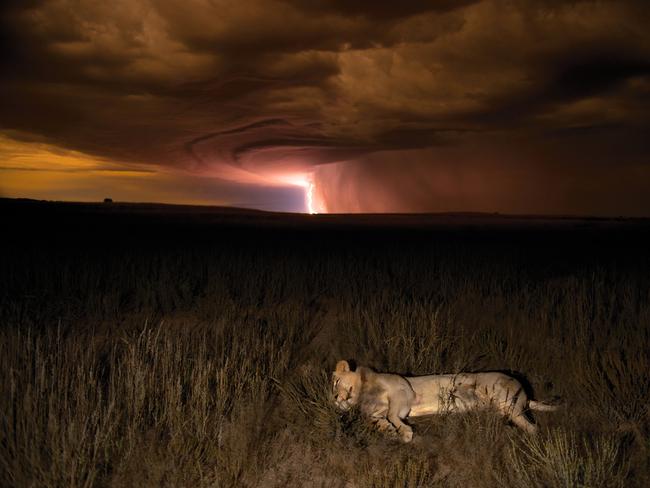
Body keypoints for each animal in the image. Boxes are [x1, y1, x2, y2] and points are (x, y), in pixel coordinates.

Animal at [330, 358, 556, 442]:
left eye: (336, 382)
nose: (334, 399)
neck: (363, 393)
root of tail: (525, 391)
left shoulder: (403, 390)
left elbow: (393, 414)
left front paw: (405, 432)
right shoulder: (379, 411)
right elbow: (375, 420)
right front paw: (390, 430)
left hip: (507, 402)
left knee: (533, 427)